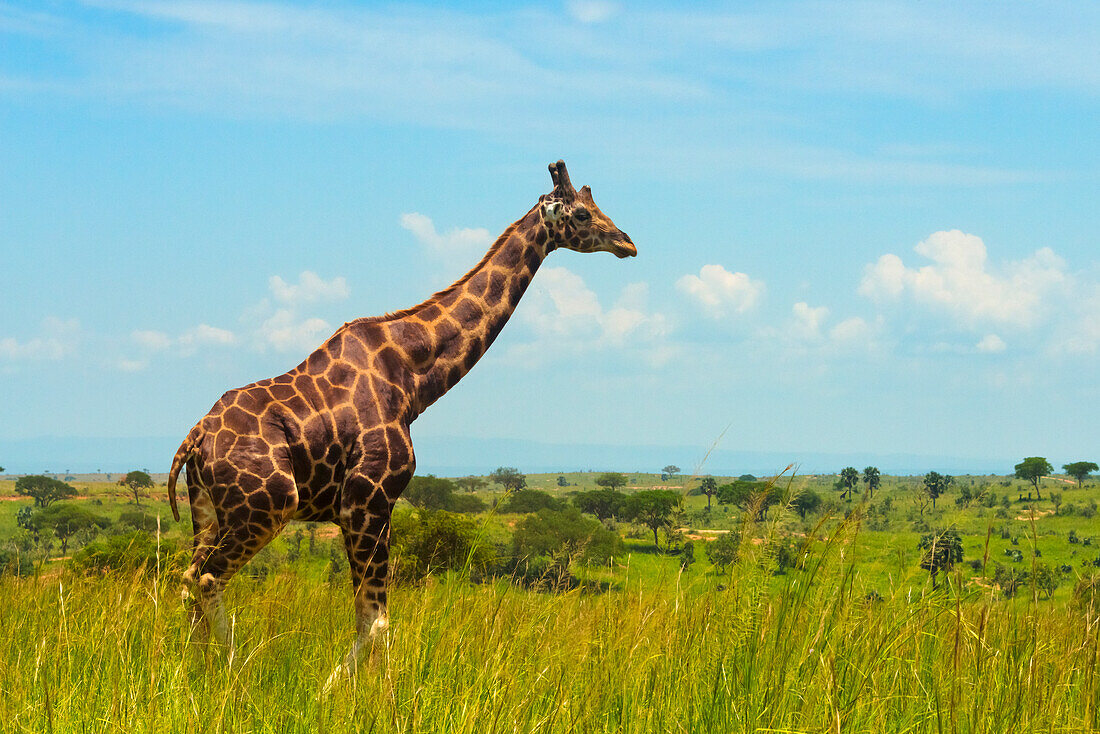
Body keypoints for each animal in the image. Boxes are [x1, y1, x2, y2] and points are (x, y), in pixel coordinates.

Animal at [162, 160, 638, 682]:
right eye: (581, 213)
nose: (627, 242)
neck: (413, 377)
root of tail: (196, 437)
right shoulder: (366, 497)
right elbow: (375, 620)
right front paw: (343, 692)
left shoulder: (373, 506)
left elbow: (371, 618)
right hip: (268, 503)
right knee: (208, 576)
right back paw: (235, 673)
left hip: (208, 510)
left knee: (188, 577)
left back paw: (195, 671)